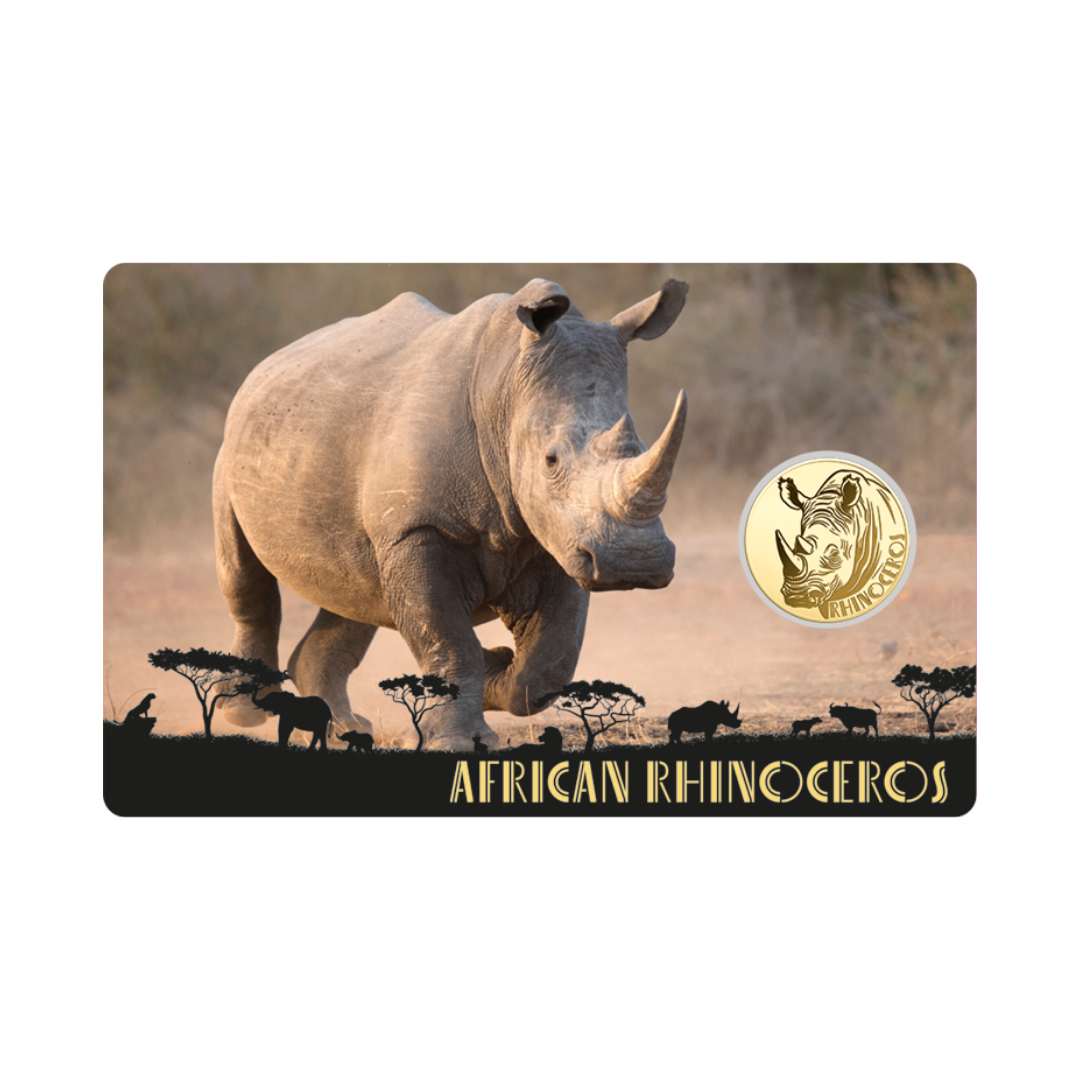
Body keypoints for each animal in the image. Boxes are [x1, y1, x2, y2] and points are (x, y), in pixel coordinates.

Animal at [213, 278, 689, 750]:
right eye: (551, 461)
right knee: (244, 573)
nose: (634, 562)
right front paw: (462, 739)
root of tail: (265, 366)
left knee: (354, 594)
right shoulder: (417, 528)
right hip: (235, 451)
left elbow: (550, 662)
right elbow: (449, 642)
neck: (505, 394)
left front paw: (496, 669)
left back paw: (345, 730)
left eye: (641, 446)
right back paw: (245, 712)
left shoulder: (560, 538)